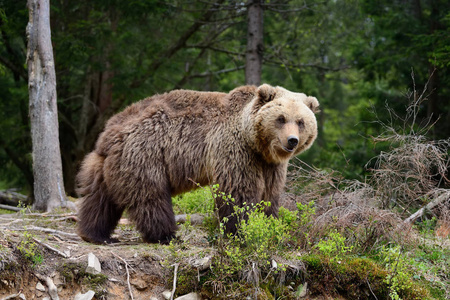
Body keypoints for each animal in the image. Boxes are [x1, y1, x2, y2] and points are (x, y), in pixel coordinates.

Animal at [75, 84, 318, 244]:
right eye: (281, 118)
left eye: (301, 121)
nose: (292, 140)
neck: (257, 144)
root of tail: (110, 131)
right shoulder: (235, 151)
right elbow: (238, 193)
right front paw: (241, 231)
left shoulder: (270, 165)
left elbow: (270, 194)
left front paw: (269, 225)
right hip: (145, 154)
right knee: (151, 197)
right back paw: (167, 235)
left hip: (106, 165)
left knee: (99, 198)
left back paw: (96, 234)